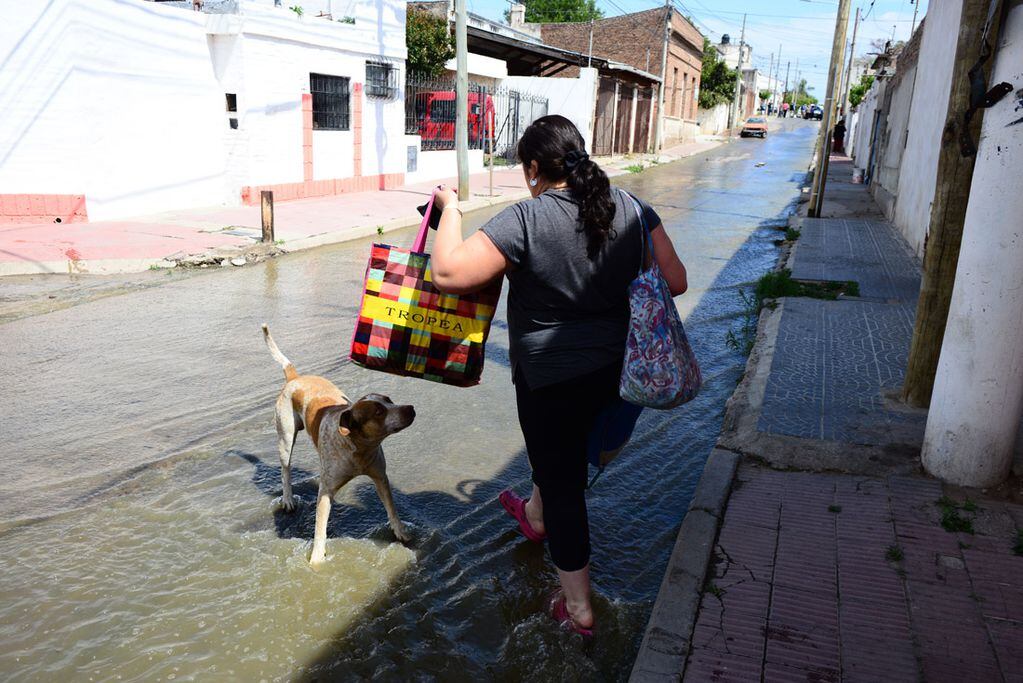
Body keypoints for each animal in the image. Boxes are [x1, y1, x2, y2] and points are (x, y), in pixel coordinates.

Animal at [261, 325, 417, 564]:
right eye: (378, 412)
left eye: (389, 400)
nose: (410, 408)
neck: (359, 449)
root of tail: (295, 378)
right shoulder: (326, 492)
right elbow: (319, 528)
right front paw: (316, 560)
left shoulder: (380, 477)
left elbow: (391, 508)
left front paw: (401, 531)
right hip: (285, 438)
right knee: (285, 470)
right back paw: (287, 498)